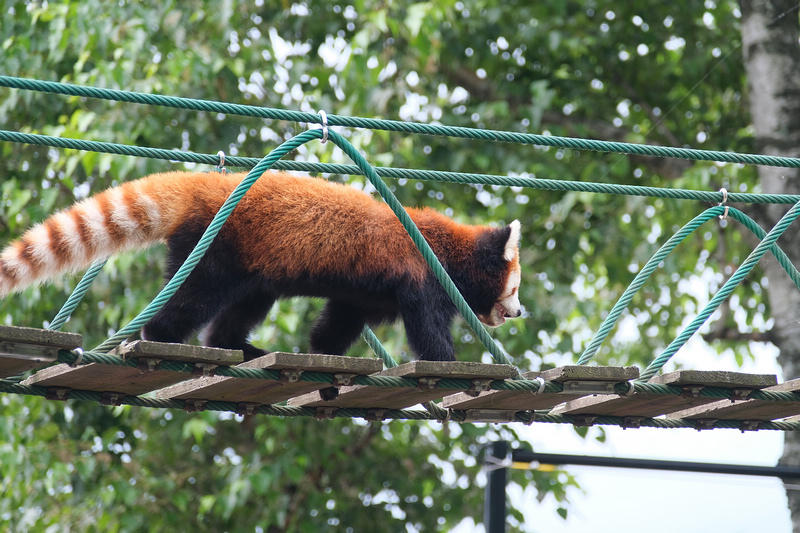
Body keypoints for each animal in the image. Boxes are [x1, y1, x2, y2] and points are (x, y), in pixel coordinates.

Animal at [0, 170, 520, 362]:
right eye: (514, 289)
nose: (519, 313)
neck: (447, 249)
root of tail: (205, 184)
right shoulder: (420, 276)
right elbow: (428, 329)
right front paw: (449, 364)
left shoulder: (365, 292)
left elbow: (339, 320)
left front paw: (323, 351)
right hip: (216, 252)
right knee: (193, 297)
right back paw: (164, 337)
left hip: (254, 270)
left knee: (241, 309)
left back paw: (237, 346)